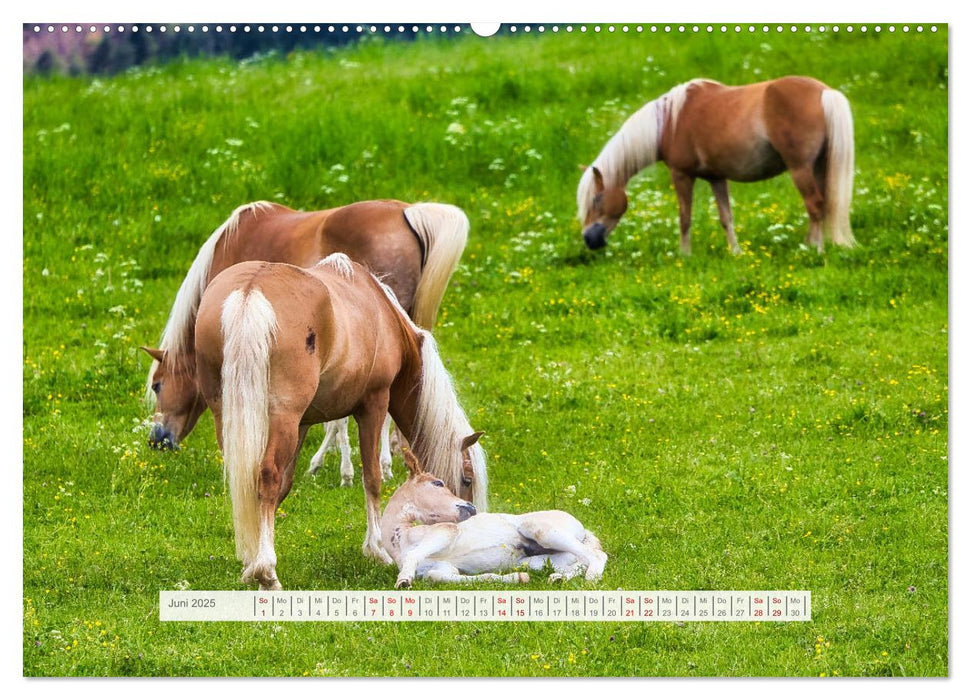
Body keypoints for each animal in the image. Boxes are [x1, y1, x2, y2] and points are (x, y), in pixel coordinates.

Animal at [195, 253, 490, 592]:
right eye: (466, 479)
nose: (471, 516)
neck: (381, 313)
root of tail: (250, 291)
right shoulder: (373, 405)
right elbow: (372, 478)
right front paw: (376, 549)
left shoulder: (303, 424)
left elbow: (285, 485)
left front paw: (250, 563)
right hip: (282, 416)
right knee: (267, 476)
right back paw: (268, 572)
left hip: (231, 415)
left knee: (244, 481)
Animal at [382, 448, 604, 592]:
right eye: (438, 483)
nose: (471, 508)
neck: (400, 539)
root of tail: (585, 531)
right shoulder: (442, 568)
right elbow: (436, 576)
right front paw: (517, 579)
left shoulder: (446, 531)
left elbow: (414, 555)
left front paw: (403, 580)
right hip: (542, 560)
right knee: (579, 563)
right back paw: (558, 578)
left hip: (539, 530)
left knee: (597, 556)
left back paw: (590, 580)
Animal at [580, 76, 856, 254]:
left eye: (596, 199)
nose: (589, 239)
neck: (669, 121)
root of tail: (825, 92)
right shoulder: (717, 177)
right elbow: (726, 217)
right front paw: (736, 253)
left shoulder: (681, 175)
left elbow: (684, 218)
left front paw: (684, 255)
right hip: (818, 167)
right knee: (822, 204)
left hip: (801, 169)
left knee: (815, 205)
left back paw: (815, 251)